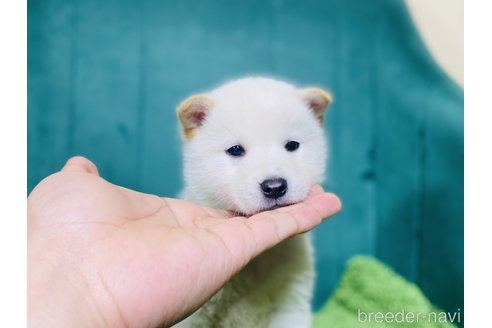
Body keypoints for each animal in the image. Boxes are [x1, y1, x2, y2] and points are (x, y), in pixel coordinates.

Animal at [173, 77, 330, 328]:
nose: (274, 186)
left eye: (292, 145)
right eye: (236, 150)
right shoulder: (195, 317)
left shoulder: (289, 303)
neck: (256, 261)